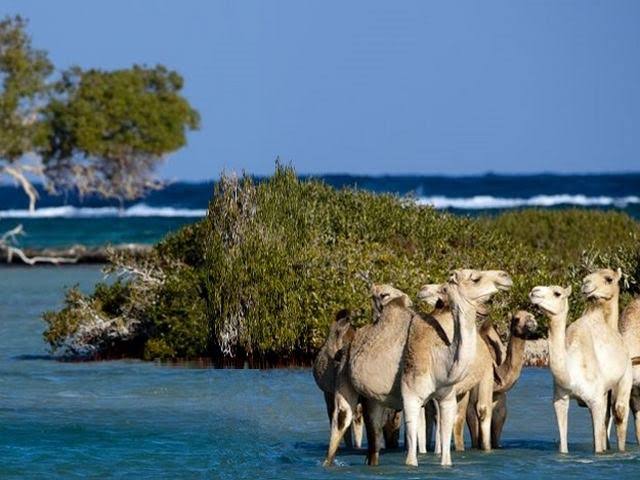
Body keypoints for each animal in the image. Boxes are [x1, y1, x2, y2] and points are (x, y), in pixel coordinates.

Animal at [528, 276, 632, 452]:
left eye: (557, 293)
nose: (534, 291)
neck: (572, 372)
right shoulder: (560, 400)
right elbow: (563, 444)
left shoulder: (595, 400)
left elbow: (597, 448)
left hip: (626, 375)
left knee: (620, 412)